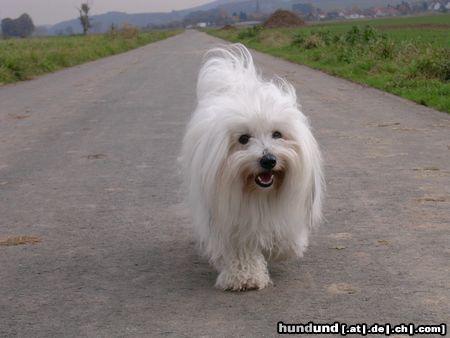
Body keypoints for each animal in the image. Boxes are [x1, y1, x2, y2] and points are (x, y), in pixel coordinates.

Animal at [179, 43, 324, 290]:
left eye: (277, 134)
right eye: (244, 139)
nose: (268, 160)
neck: (259, 193)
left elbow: (284, 232)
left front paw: (282, 248)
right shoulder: (231, 216)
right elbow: (240, 247)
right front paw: (245, 276)